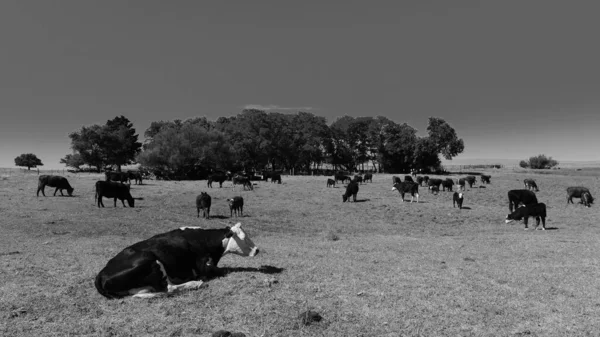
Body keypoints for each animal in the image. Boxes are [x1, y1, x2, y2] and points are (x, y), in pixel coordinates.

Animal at [95, 222, 258, 298]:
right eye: (244, 238)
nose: (257, 250)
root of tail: (101, 273)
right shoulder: (203, 266)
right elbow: (221, 271)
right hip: (152, 261)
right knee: (169, 288)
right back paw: (195, 284)